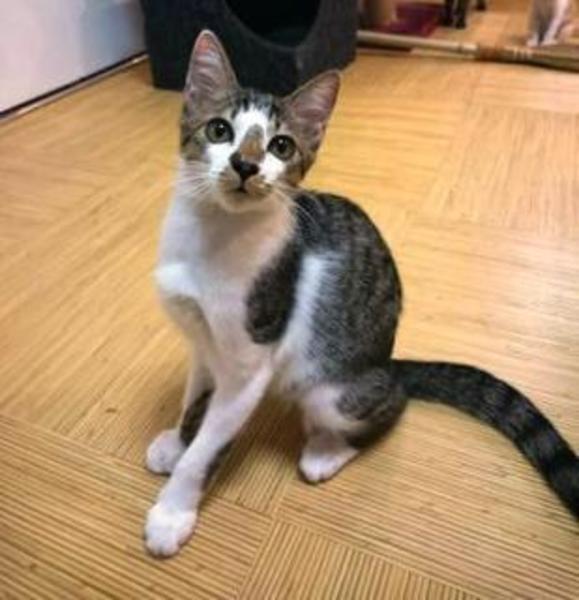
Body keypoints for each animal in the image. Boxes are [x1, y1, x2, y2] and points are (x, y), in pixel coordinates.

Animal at [145, 30, 579, 558]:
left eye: (281, 146)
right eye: (219, 130)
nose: (246, 165)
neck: (211, 238)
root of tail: (389, 363)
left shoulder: (250, 362)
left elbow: (210, 446)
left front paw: (173, 511)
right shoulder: (203, 342)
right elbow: (194, 401)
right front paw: (177, 441)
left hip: (330, 390)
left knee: (387, 407)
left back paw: (326, 452)